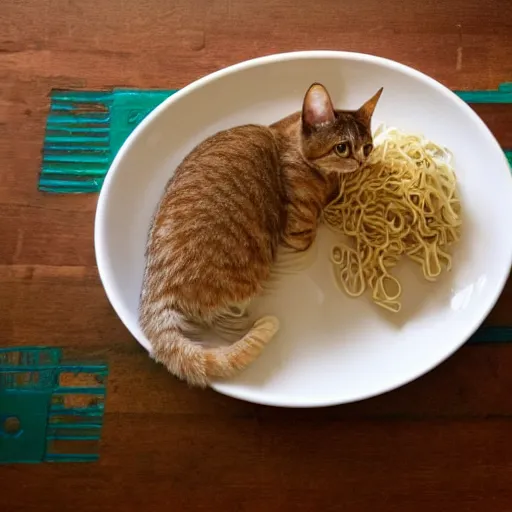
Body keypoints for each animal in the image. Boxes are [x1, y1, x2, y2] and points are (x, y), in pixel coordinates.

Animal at [138, 82, 382, 386]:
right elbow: (309, 239)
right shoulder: (299, 234)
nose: (361, 161)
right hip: (251, 271)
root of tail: (157, 291)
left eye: (367, 147)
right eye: (342, 148)